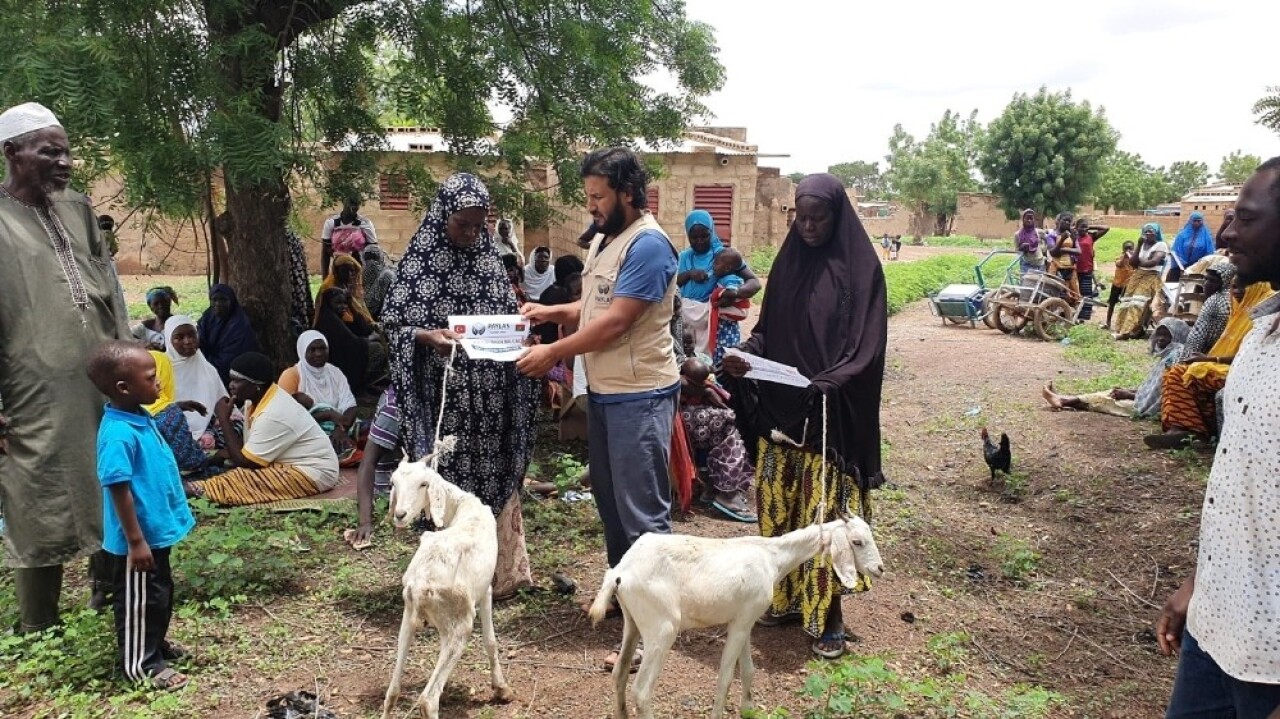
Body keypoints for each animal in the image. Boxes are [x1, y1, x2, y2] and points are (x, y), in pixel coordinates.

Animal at [378, 437, 509, 716]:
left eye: (423, 484)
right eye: (393, 483)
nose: (400, 515)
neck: (462, 506)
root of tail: (421, 585)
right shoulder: (485, 591)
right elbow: (490, 641)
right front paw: (502, 689)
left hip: (409, 617)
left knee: (392, 691)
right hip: (461, 623)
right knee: (428, 699)